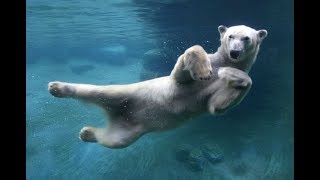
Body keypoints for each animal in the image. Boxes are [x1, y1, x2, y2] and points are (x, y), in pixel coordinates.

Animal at [47, 25, 268, 149]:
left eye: (246, 38)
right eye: (230, 36)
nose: (235, 52)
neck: (224, 60)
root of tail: (120, 114)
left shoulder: (217, 96)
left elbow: (217, 105)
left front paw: (232, 75)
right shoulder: (186, 75)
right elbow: (183, 71)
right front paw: (207, 71)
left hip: (130, 130)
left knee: (115, 141)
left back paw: (87, 133)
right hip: (129, 92)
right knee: (98, 91)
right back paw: (57, 87)